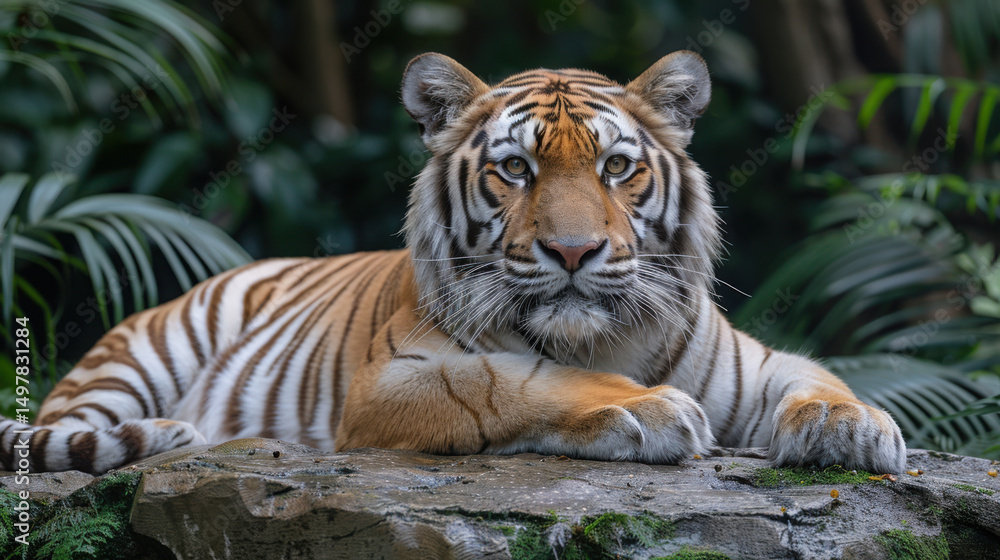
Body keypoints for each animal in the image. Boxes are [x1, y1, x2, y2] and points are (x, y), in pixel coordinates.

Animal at [0, 51, 906, 476]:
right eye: (516, 170)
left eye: (617, 167)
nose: (572, 250)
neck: (602, 339)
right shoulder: (396, 380)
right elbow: (513, 383)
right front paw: (644, 409)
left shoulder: (749, 362)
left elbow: (816, 377)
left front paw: (854, 426)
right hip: (135, 360)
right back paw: (169, 435)